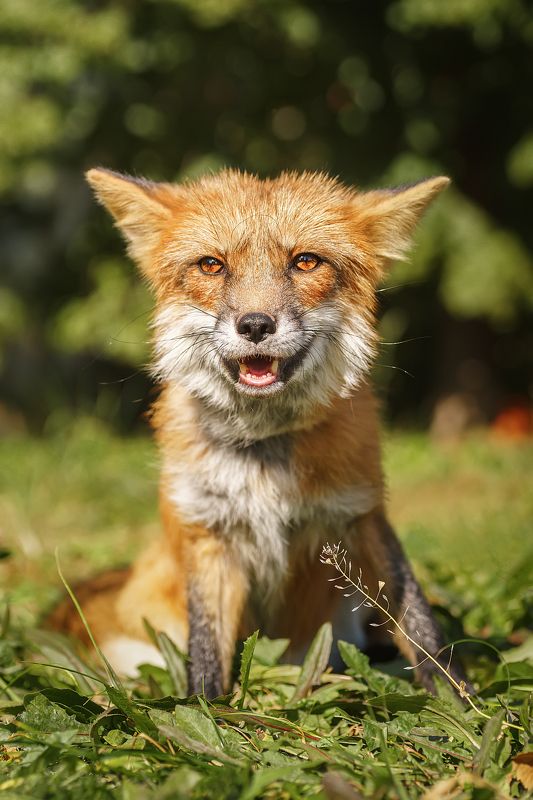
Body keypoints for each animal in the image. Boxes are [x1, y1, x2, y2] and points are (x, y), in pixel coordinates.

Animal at [47, 167, 463, 697]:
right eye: (211, 265)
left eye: (306, 261)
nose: (255, 325)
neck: (264, 453)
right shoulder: (209, 532)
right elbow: (207, 652)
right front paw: (205, 710)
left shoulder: (363, 515)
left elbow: (420, 621)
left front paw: (459, 701)